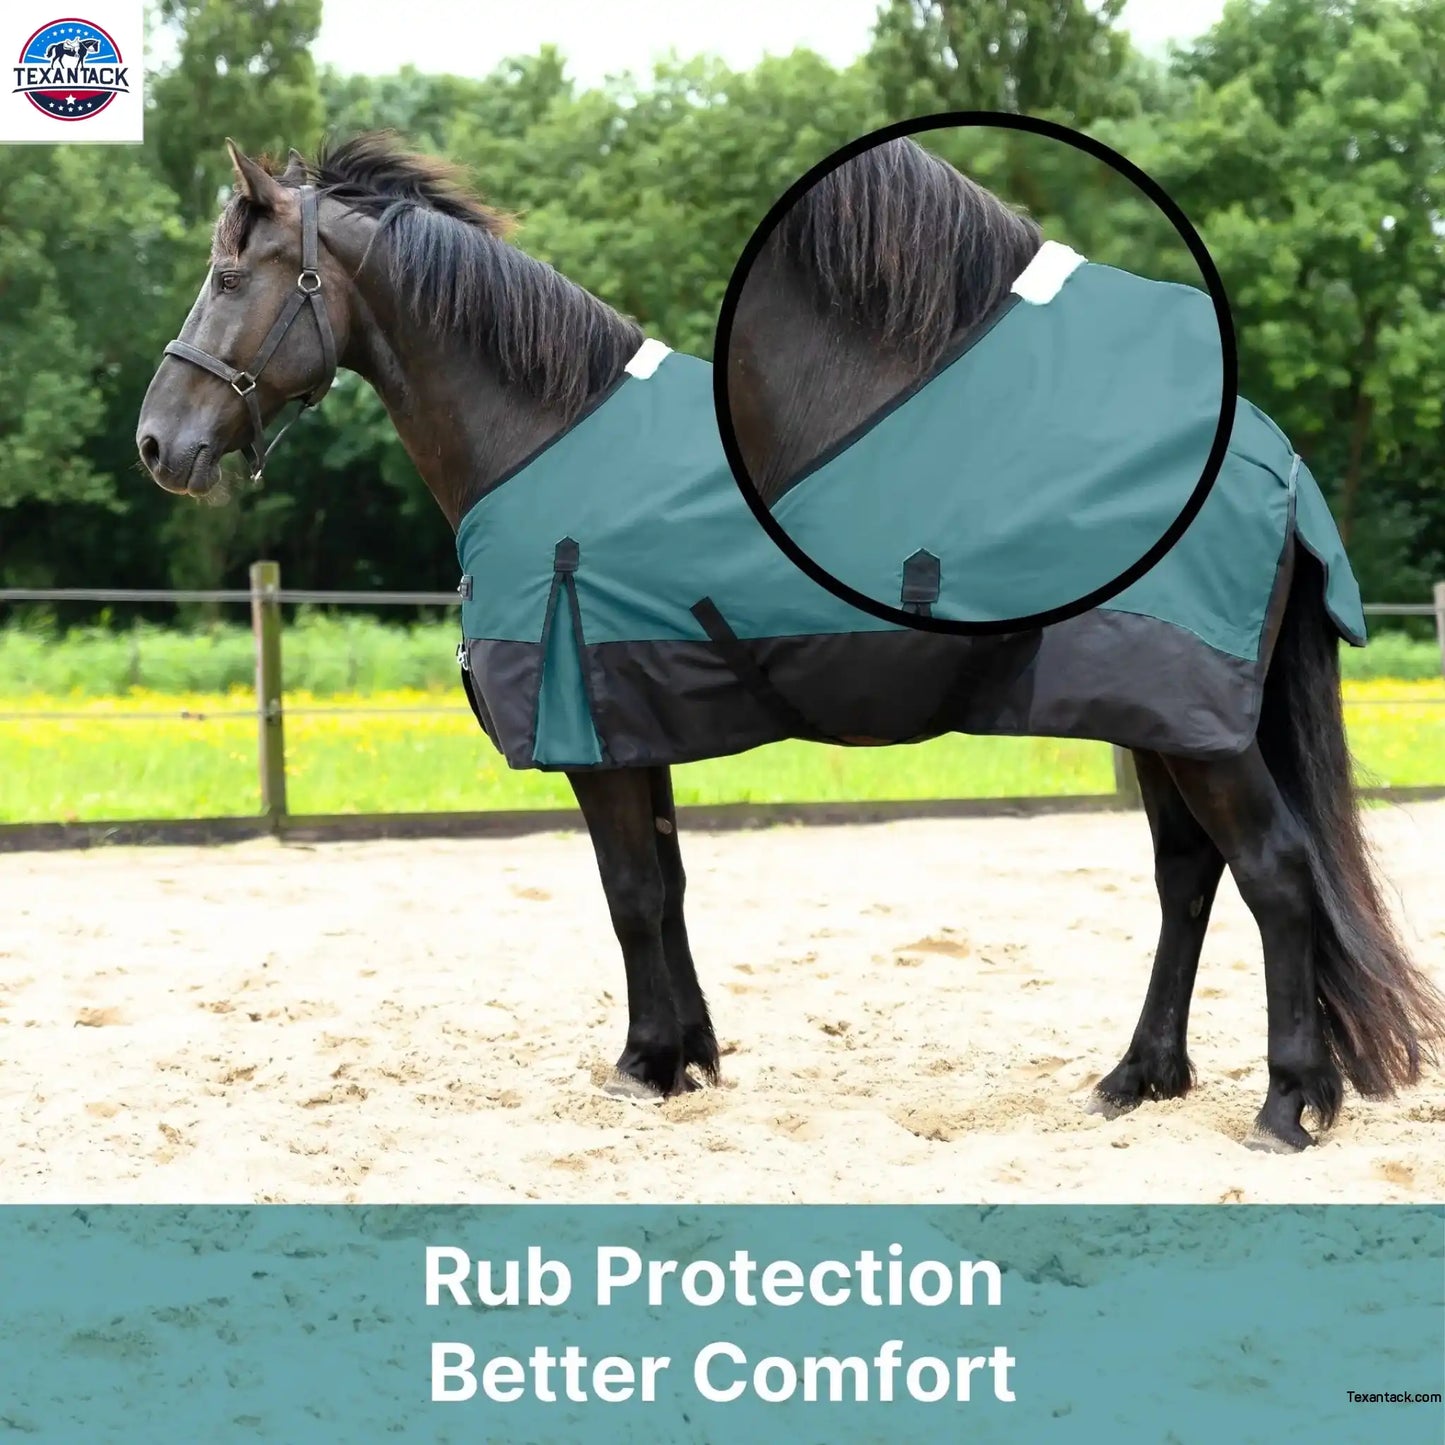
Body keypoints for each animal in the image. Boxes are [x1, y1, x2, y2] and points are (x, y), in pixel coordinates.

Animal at [135, 133, 1444, 1152]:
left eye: (227, 273)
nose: (158, 442)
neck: (543, 432)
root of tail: (1266, 454)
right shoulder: (633, 721)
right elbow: (662, 885)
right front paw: (688, 1056)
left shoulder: (593, 732)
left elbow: (626, 892)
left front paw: (642, 1064)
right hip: (1159, 717)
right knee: (1188, 876)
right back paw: (1135, 1080)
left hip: (1193, 723)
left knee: (1272, 872)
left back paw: (1285, 1106)